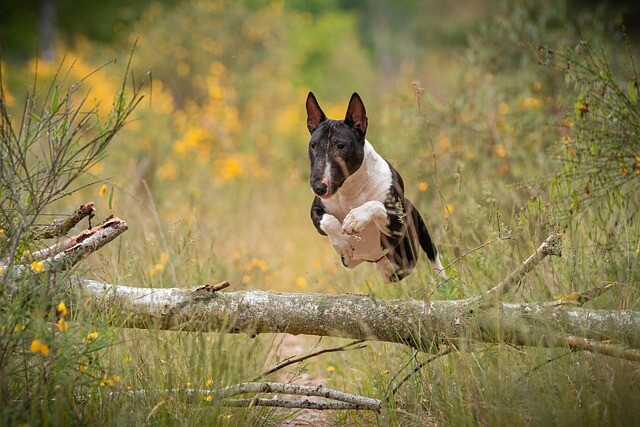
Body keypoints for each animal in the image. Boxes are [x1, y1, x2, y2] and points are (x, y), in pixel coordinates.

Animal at [304, 92, 444, 282]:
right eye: (313, 145)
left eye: (340, 146)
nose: (318, 187)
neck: (350, 191)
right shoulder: (316, 210)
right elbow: (327, 220)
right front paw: (342, 243)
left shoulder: (397, 223)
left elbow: (375, 205)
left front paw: (355, 219)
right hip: (354, 262)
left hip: (414, 229)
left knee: (433, 255)